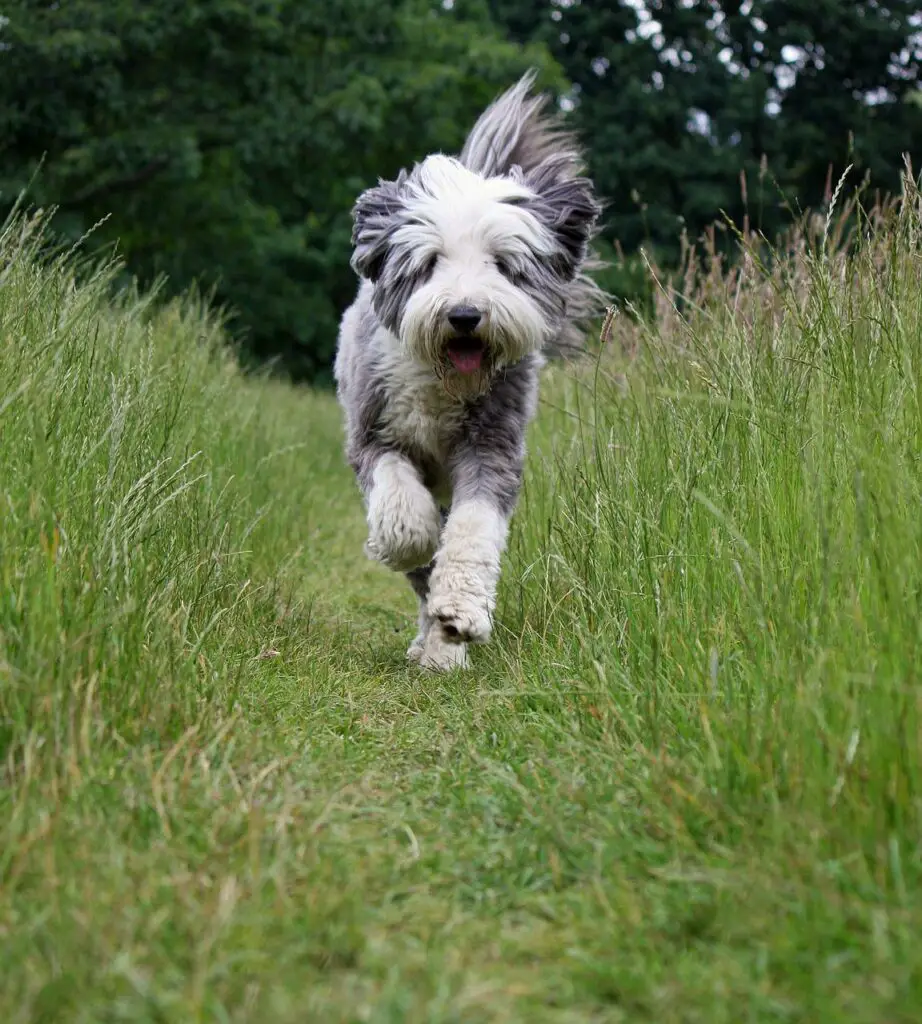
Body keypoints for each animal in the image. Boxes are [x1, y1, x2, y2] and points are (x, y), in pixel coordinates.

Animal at [333, 68, 610, 667]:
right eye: (431, 262)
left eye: (503, 265)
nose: (464, 315)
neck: (442, 382)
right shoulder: (373, 431)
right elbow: (403, 510)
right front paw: (403, 542)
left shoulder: (493, 445)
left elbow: (472, 529)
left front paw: (459, 615)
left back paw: (442, 648)